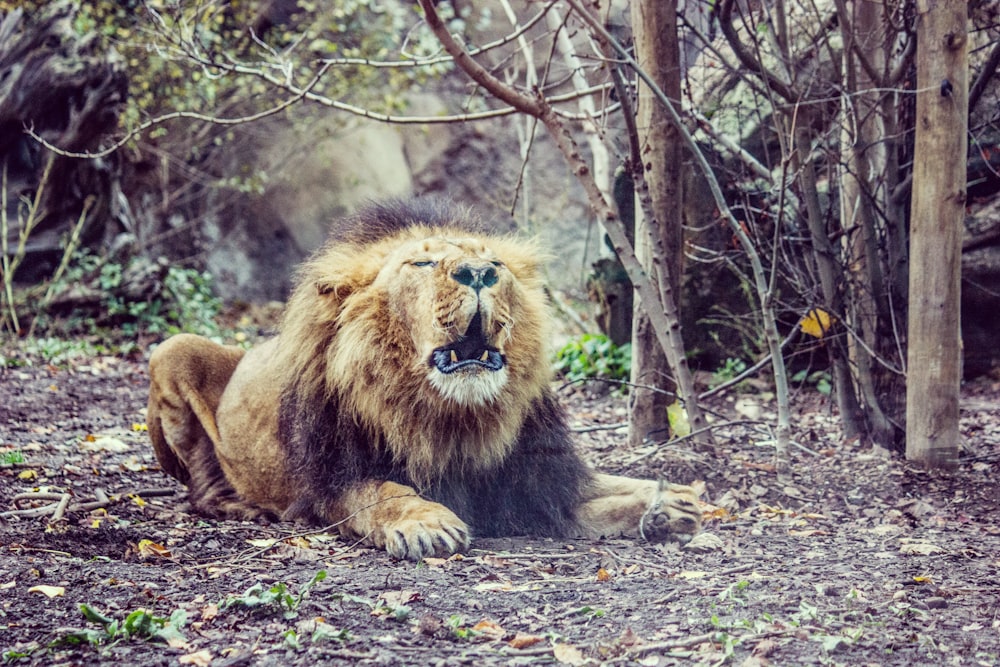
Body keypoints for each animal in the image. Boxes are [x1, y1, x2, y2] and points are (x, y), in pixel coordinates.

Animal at [146, 197, 704, 560]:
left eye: (495, 262)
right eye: (422, 262)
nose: (478, 273)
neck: (453, 417)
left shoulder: (538, 478)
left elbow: (605, 490)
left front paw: (669, 501)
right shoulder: (330, 483)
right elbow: (382, 492)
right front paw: (426, 522)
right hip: (171, 350)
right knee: (200, 486)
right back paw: (242, 506)